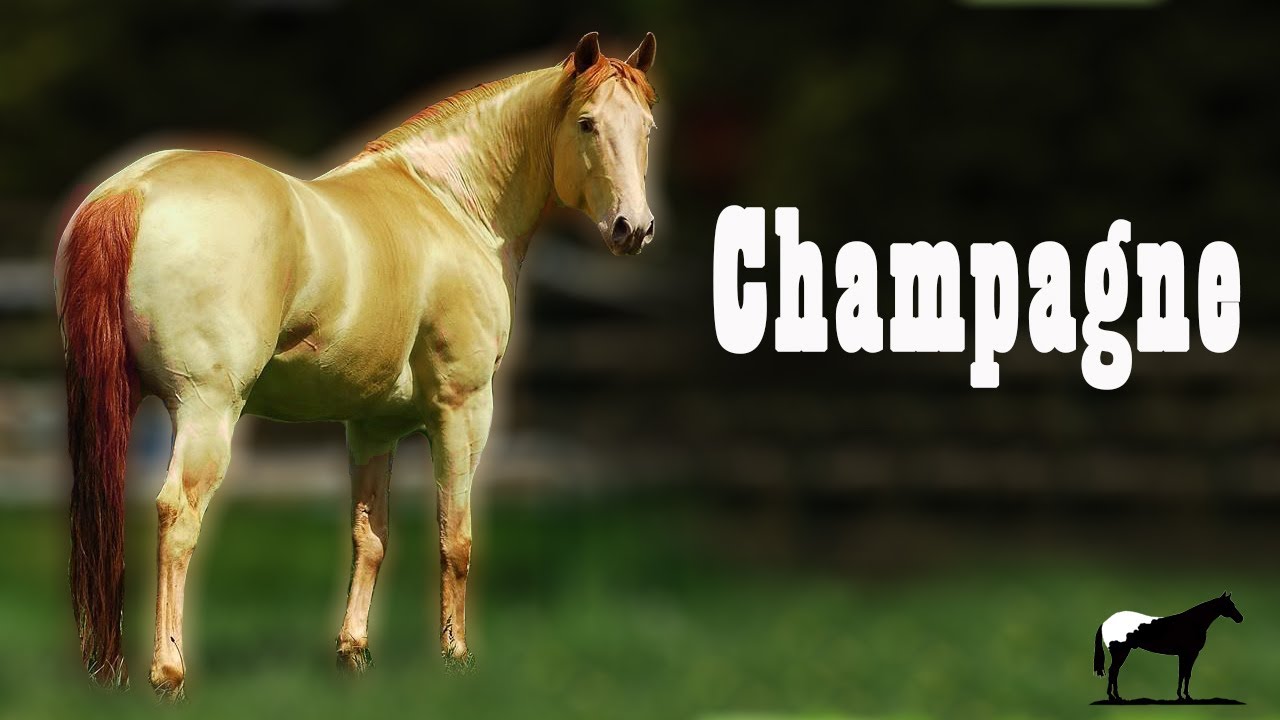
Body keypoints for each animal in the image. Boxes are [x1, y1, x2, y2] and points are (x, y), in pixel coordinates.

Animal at [54, 31, 658, 697]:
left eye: (647, 127)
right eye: (586, 123)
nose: (633, 228)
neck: (448, 202)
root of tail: (133, 189)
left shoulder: (372, 428)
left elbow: (370, 537)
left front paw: (352, 652)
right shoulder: (463, 410)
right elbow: (456, 538)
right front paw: (455, 658)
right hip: (206, 412)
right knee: (177, 515)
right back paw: (168, 673)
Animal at [1094, 592, 1243, 701]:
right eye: (1230, 605)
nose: (1240, 618)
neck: (1193, 623)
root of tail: (1106, 622)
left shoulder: (1186, 654)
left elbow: (1184, 674)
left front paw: (1182, 695)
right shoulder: (1189, 653)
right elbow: (1185, 674)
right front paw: (1184, 696)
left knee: (1115, 671)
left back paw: (1116, 696)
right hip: (1121, 652)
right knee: (1113, 671)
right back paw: (1113, 696)